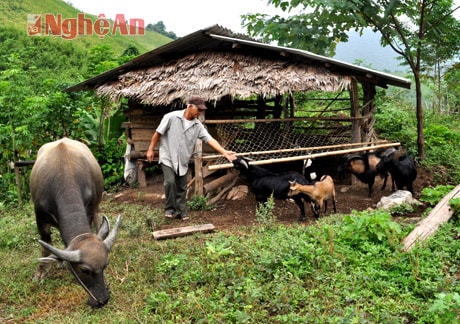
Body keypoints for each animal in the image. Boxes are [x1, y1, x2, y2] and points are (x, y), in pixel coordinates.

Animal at [29, 138, 121, 308]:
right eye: (84, 270)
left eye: (105, 265)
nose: (103, 300)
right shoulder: (40, 217)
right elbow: (45, 243)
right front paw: (41, 271)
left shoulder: (89, 209)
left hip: (97, 204)